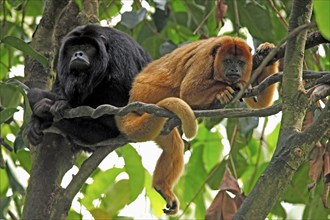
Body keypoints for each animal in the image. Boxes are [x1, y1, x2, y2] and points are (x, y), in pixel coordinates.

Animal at [116, 36, 278, 215]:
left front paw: (267, 50)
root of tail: (132, 99)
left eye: (240, 62)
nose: (234, 70)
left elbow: (260, 103)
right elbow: (189, 90)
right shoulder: (204, 59)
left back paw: (161, 187)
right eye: (228, 61)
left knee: (172, 147)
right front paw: (232, 86)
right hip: (147, 94)